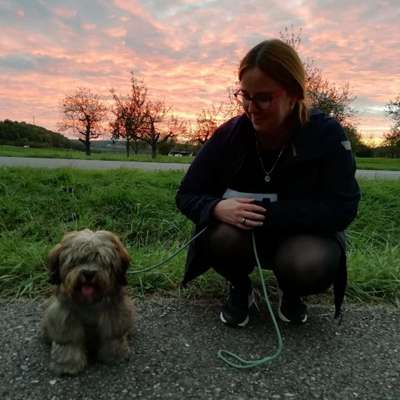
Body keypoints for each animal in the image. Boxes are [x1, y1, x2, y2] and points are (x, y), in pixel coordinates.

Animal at [41, 228, 134, 376]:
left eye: (101, 260)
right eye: (77, 260)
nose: (88, 274)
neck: (89, 303)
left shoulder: (113, 314)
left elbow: (112, 335)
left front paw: (115, 355)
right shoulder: (65, 317)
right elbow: (69, 341)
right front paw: (68, 364)